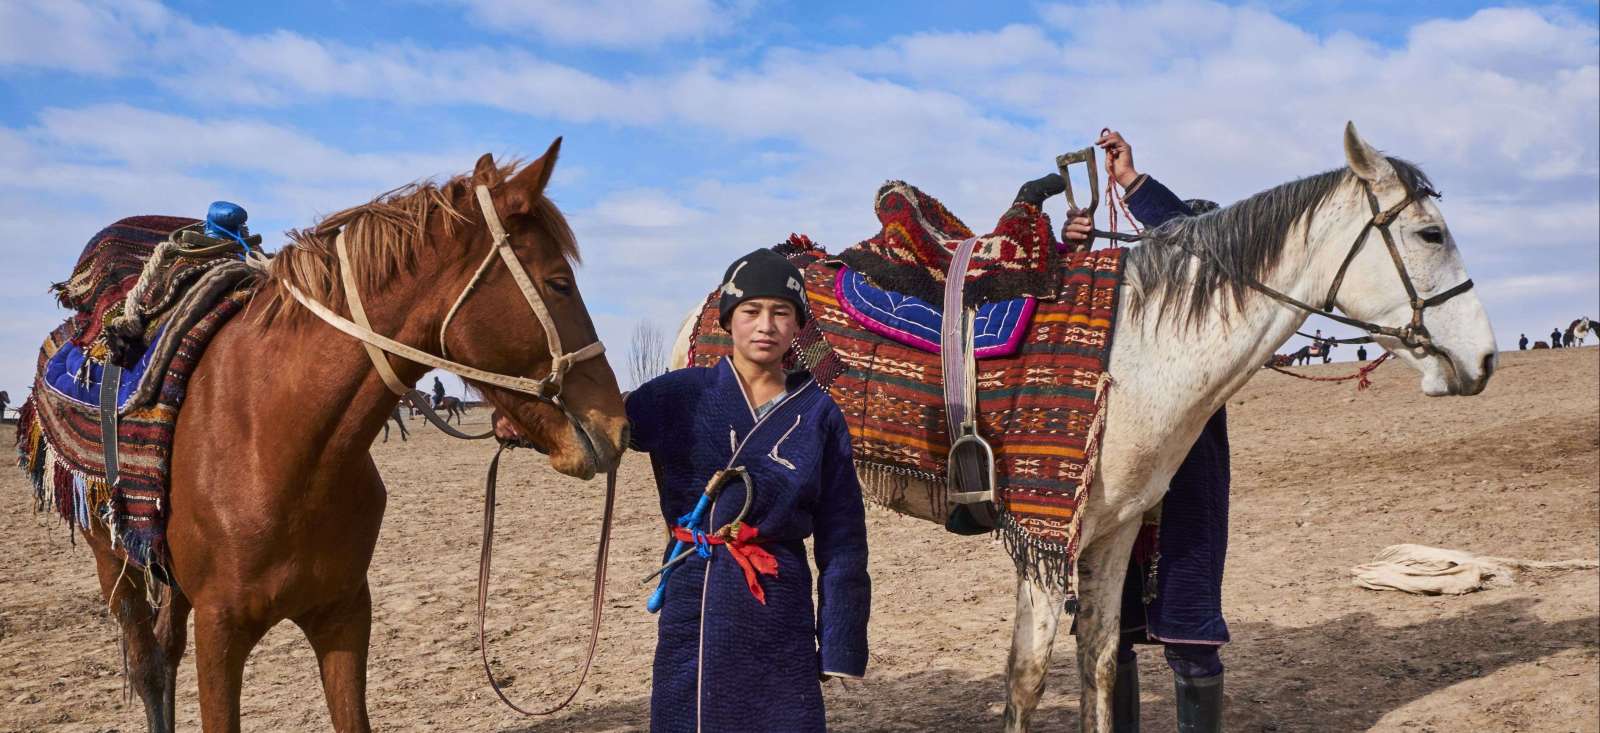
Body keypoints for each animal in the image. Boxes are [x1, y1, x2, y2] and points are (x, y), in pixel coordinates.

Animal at [51, 140, 624, 729]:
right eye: (559, 282)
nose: (617, 424)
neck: (275, 444)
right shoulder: (220, 633)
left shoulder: (344, 614)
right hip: (114, 562)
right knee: (148, 664)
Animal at [668, 123, 1491, 729]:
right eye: (1429, 233)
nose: (1481, 357)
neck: (1136, 352)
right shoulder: (1042, 532)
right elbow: (1027, 674)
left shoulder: (1114, 528)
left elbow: (1096, 658)